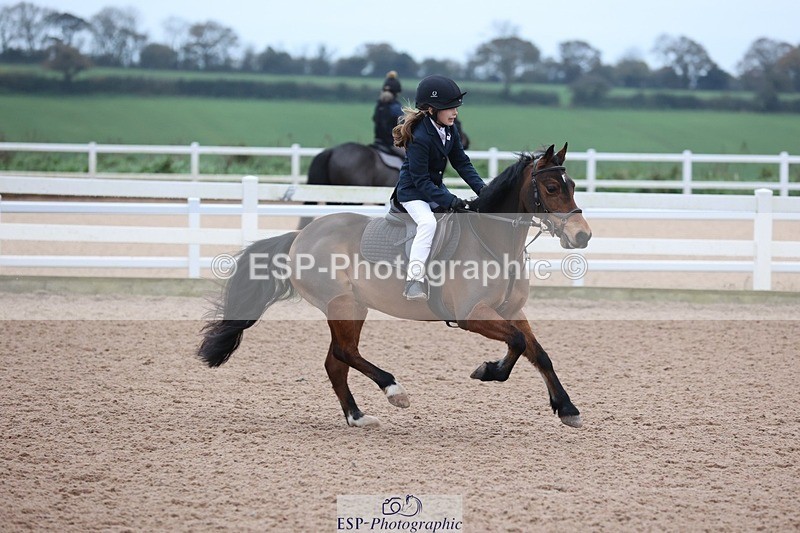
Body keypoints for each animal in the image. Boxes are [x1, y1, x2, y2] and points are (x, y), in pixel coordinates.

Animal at [198, 143, 592, 428]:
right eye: (552, 187)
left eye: (573, 187)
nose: (583, 236)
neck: (492, 241)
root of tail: (302, 235)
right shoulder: (473, 315)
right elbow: (518, 342)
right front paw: (488, 371)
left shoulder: (511, 310)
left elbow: (537, 351)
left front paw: (567, 408)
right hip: (343, 305)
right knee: (344, 353)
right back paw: (394, 391)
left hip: (352, 307)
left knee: (336, 362)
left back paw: (358, 417)